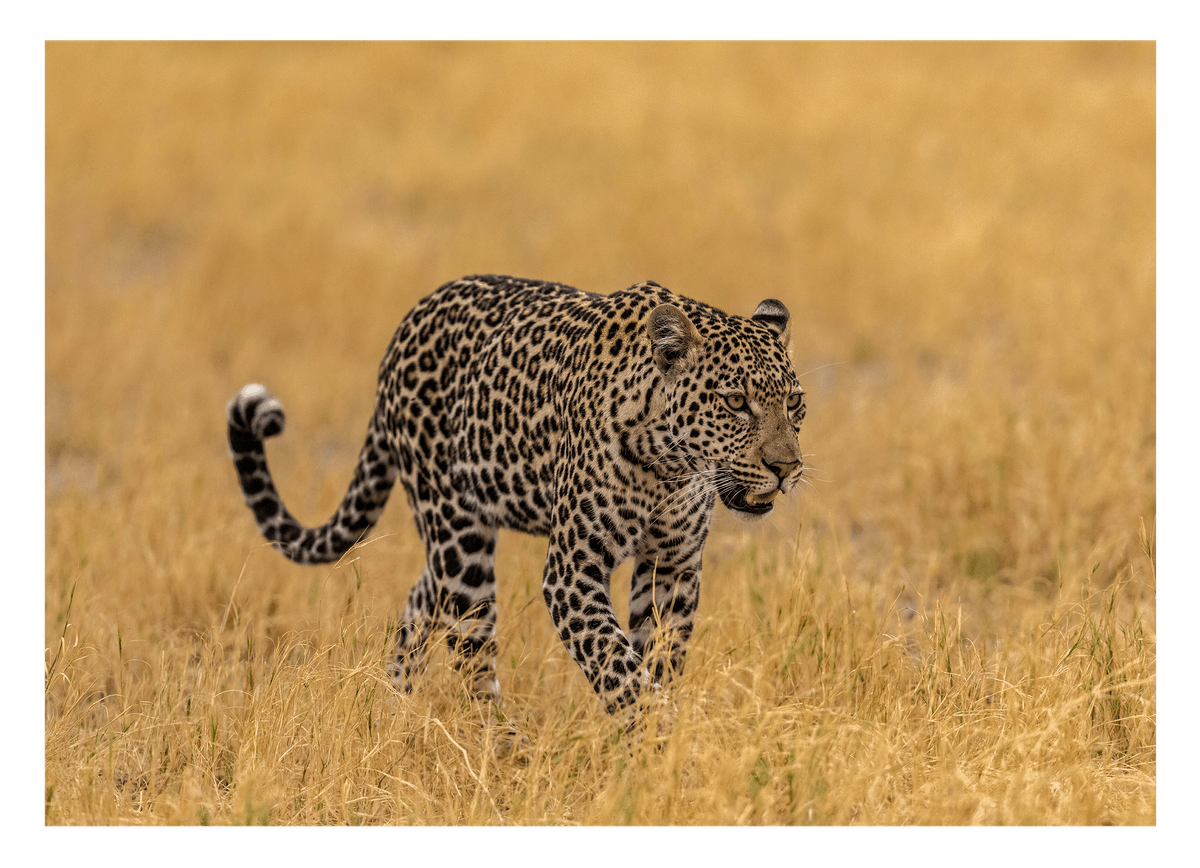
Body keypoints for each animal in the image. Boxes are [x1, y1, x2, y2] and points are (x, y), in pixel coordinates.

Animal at [226, 275, 806, 718]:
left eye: (795, 402)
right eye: (735, 403)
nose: (786, 468)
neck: (669, 467)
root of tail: (404, 327)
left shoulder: (673, 567)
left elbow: (656, 661)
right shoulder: (572, 571)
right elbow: (619, 668)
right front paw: (661, 741)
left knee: (421, 603)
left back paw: (391, 712)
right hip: (458, 537)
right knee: (471, 652)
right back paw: (501, 749)